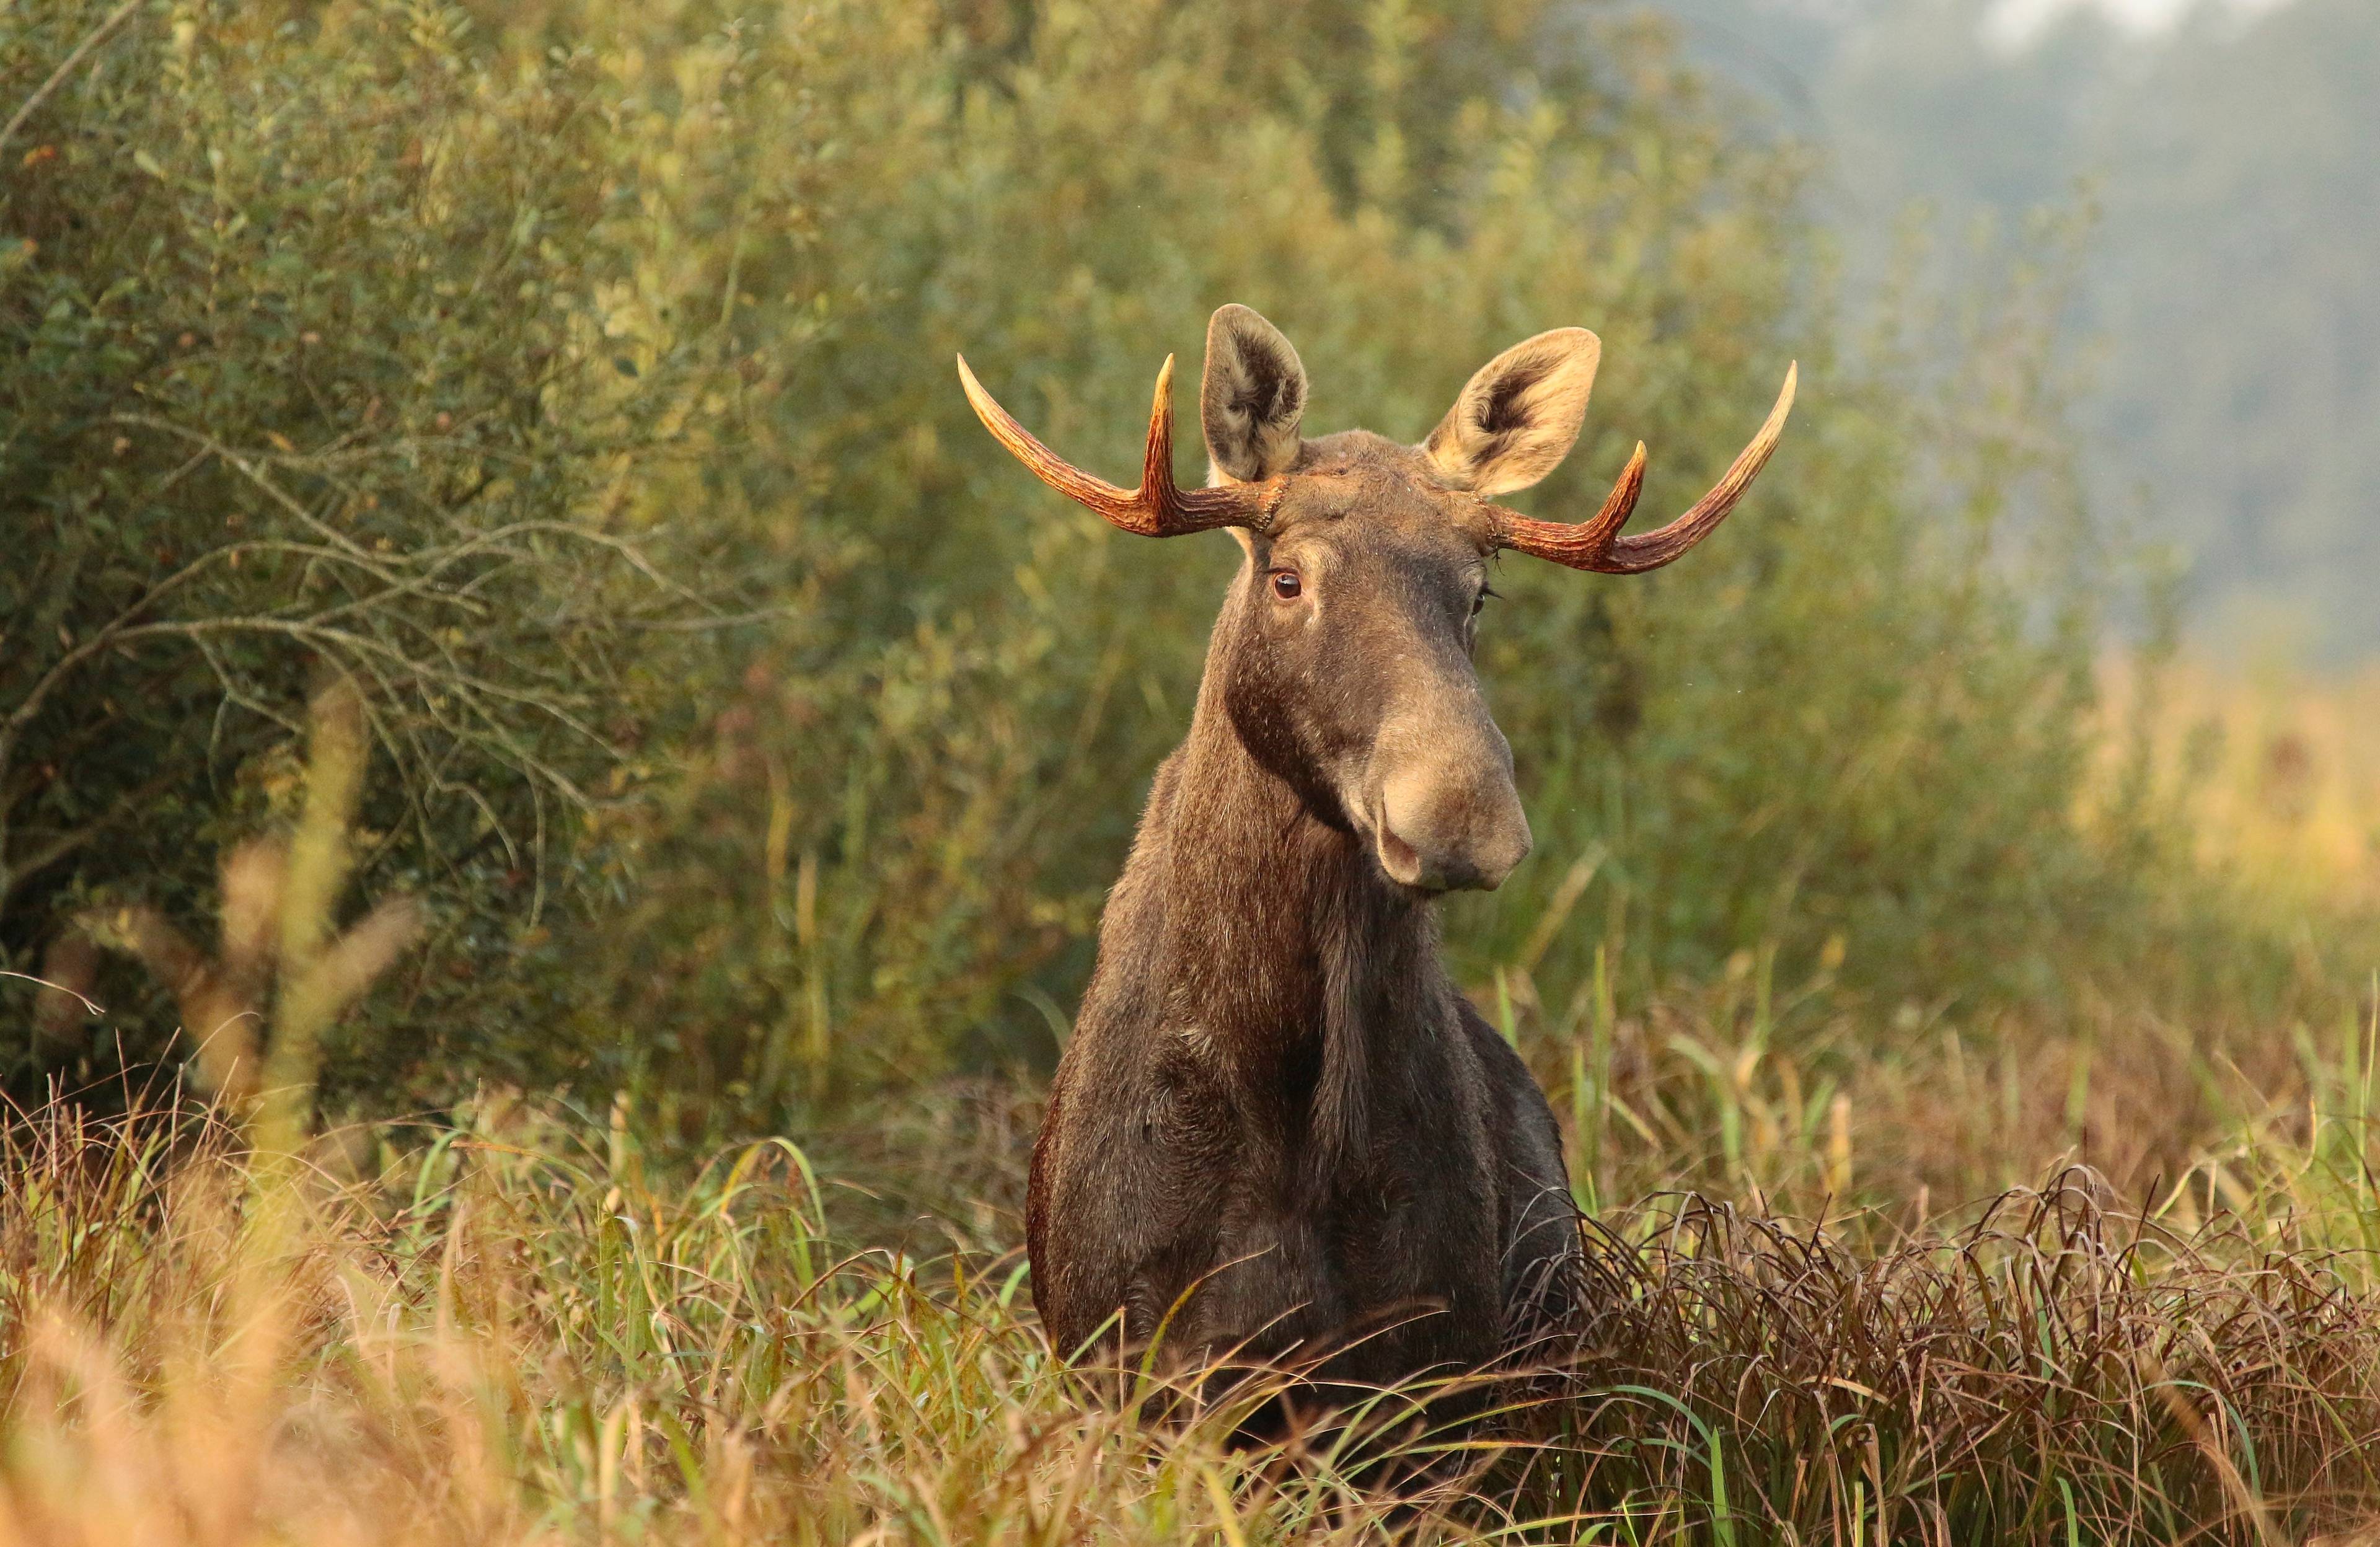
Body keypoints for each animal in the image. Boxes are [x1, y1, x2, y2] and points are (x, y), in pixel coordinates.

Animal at [956, 307, 1789, 1418]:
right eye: (1289, 577)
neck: (1282, 1118)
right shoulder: (1126, 1357)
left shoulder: (1433, 1371)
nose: (1464, 810)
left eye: (1479, 594)